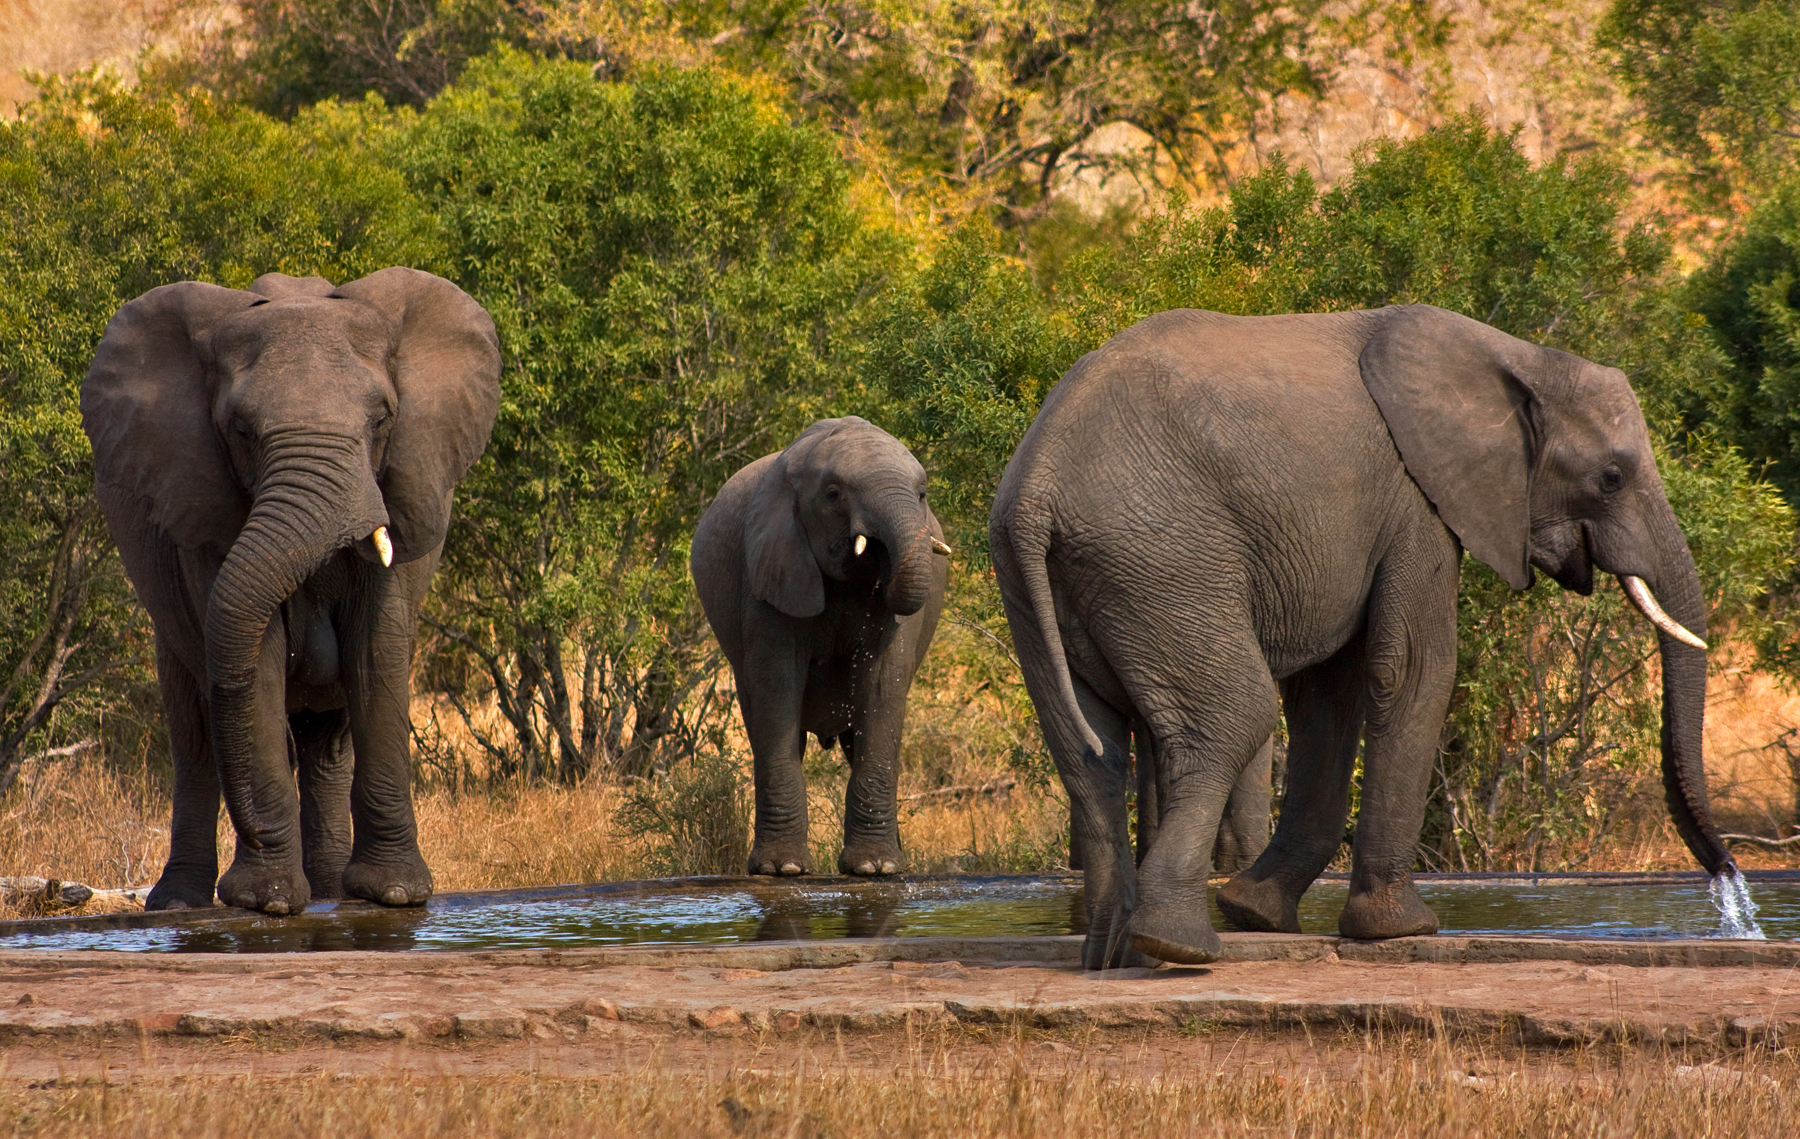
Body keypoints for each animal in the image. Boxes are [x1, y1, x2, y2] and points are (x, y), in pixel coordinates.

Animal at [82, 268, 500, 914]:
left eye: (382, 419)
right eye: (240, 430)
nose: (256, 831)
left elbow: (377, 651)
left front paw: (394, 895)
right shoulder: (205, 514)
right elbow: (258, 658)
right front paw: (268, 902)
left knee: (328, 741)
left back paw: (333, 894)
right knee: (195, 732)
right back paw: (181, 905)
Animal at [687, 415, 950, 870]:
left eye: (922, 495)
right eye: (833, 495)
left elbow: (884, 688)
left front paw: (875, 869)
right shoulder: (767, 571)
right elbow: (776, 689)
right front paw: (781, 869)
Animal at [1000, 304, 1728, 971]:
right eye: (1612, 476)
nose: (1727, 879)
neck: (1518, 356)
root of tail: (1036, 486)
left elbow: (1331, 690)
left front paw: (1260, 914)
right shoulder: (1417, 501)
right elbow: (1412, 668)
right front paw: (1401, 930)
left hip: (1049, 582)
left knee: (1089, 750)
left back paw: (1113, 957)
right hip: (1164, 561)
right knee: (1235, 716)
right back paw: (1180, 948)